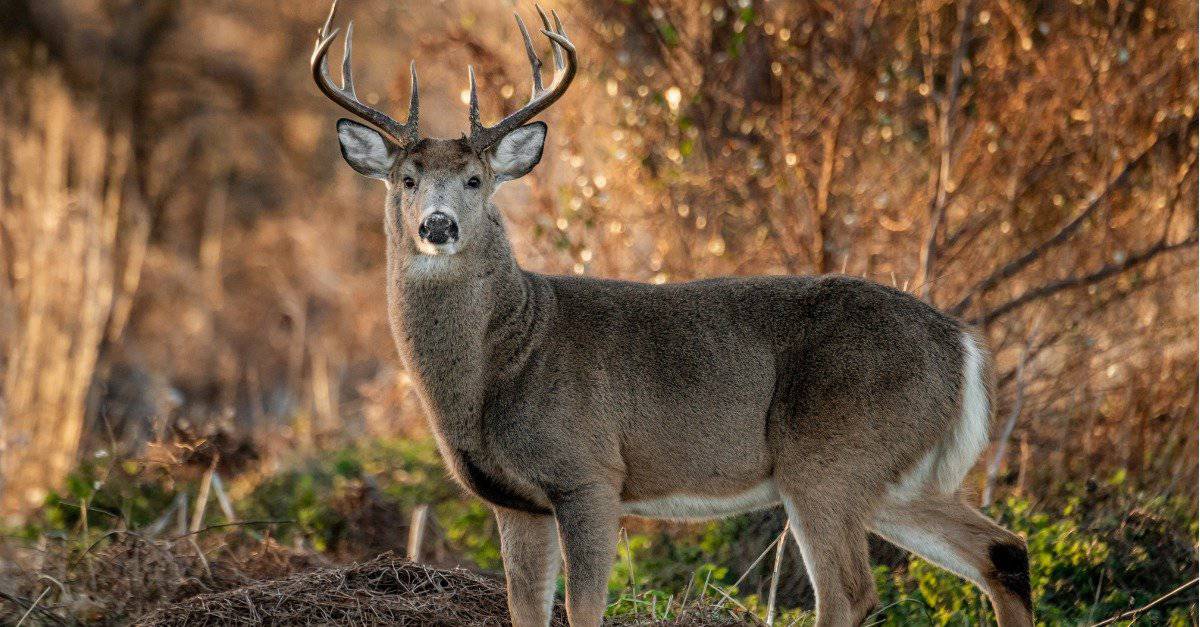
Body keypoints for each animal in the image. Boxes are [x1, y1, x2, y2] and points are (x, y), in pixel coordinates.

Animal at [314, 2, 1036, 619]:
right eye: (406, 180)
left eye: (476, 180)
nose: (437, 225)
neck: (503, 361)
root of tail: (964, 344)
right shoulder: (515, 500)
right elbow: (525, 610)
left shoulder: (589, 472)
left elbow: (586, 608)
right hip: (896, 476)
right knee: (1003, 551)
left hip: (830, 456)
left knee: (851, 594)